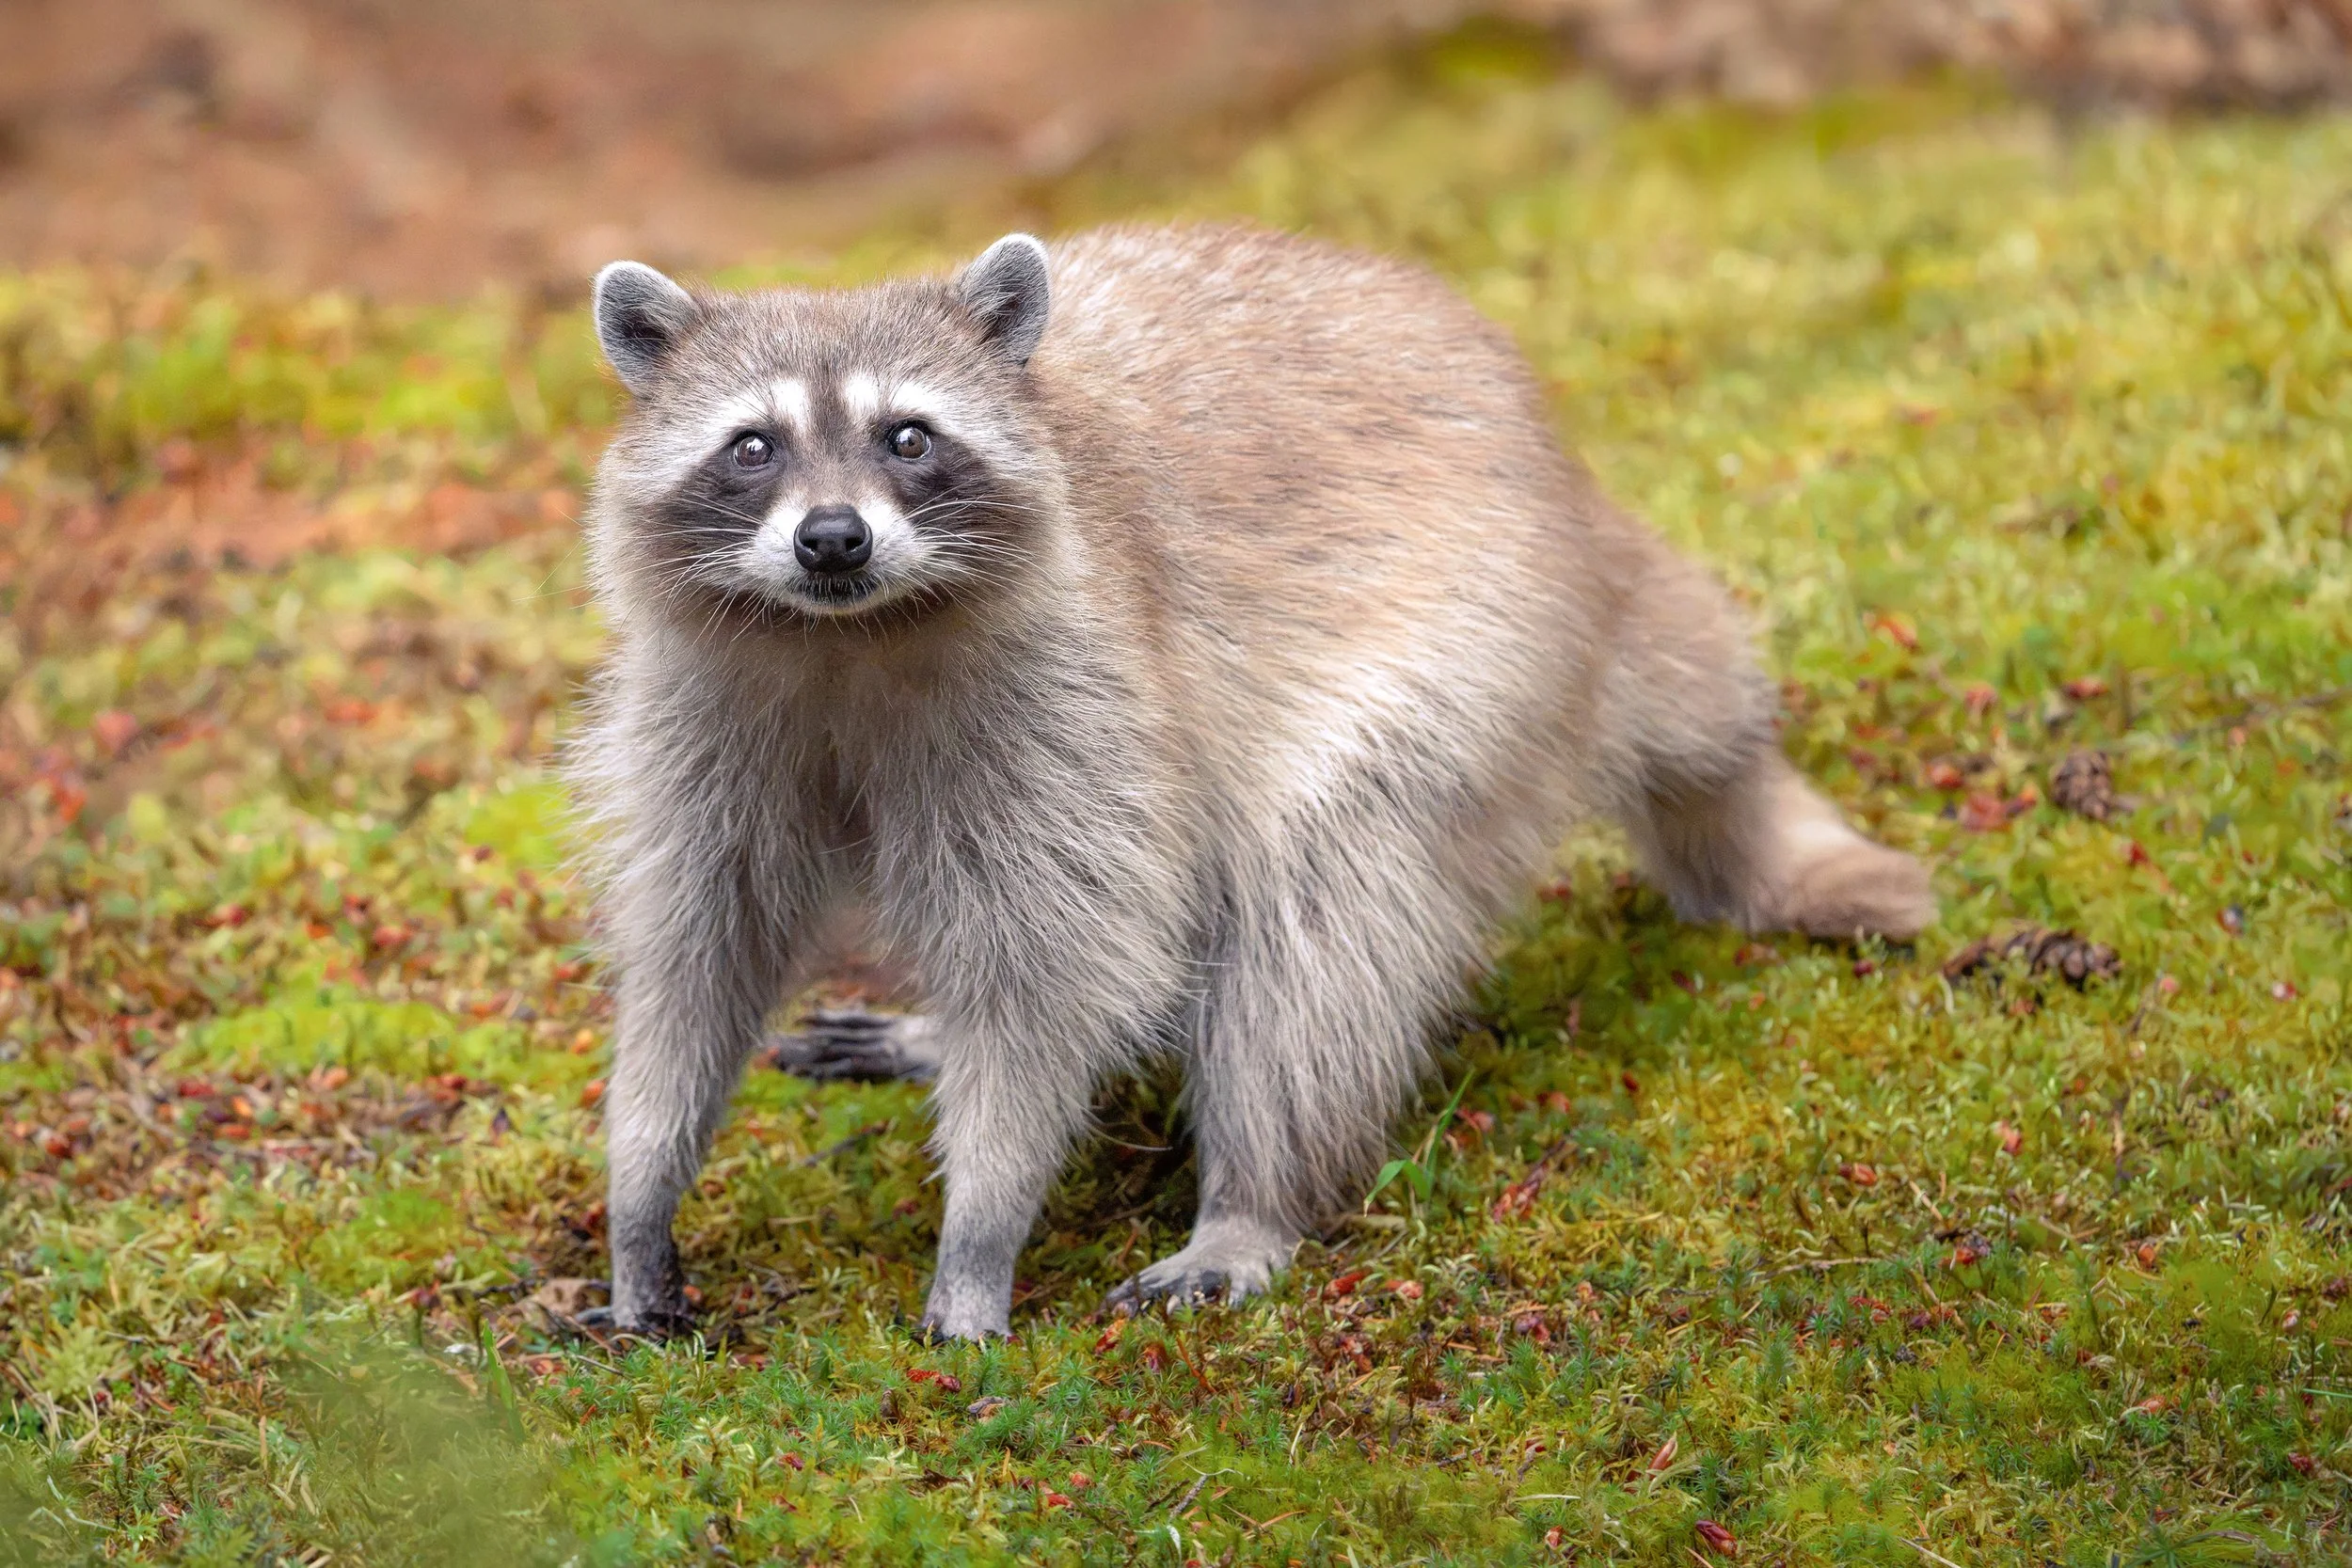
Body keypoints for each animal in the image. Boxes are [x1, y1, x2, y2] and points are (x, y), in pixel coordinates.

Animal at [572, 224, 1933, 1340]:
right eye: (752, 447)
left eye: (908, 435)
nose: (833, 537)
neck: (845, 637)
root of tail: (1573, 504)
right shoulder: (708, 717)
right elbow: (700, 947)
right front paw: (641, 1183)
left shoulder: (1080, 699)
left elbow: (1050, 974)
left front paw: (983, 1226)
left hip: (1469, 642)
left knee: (1316, 911)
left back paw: (1253, 1199)